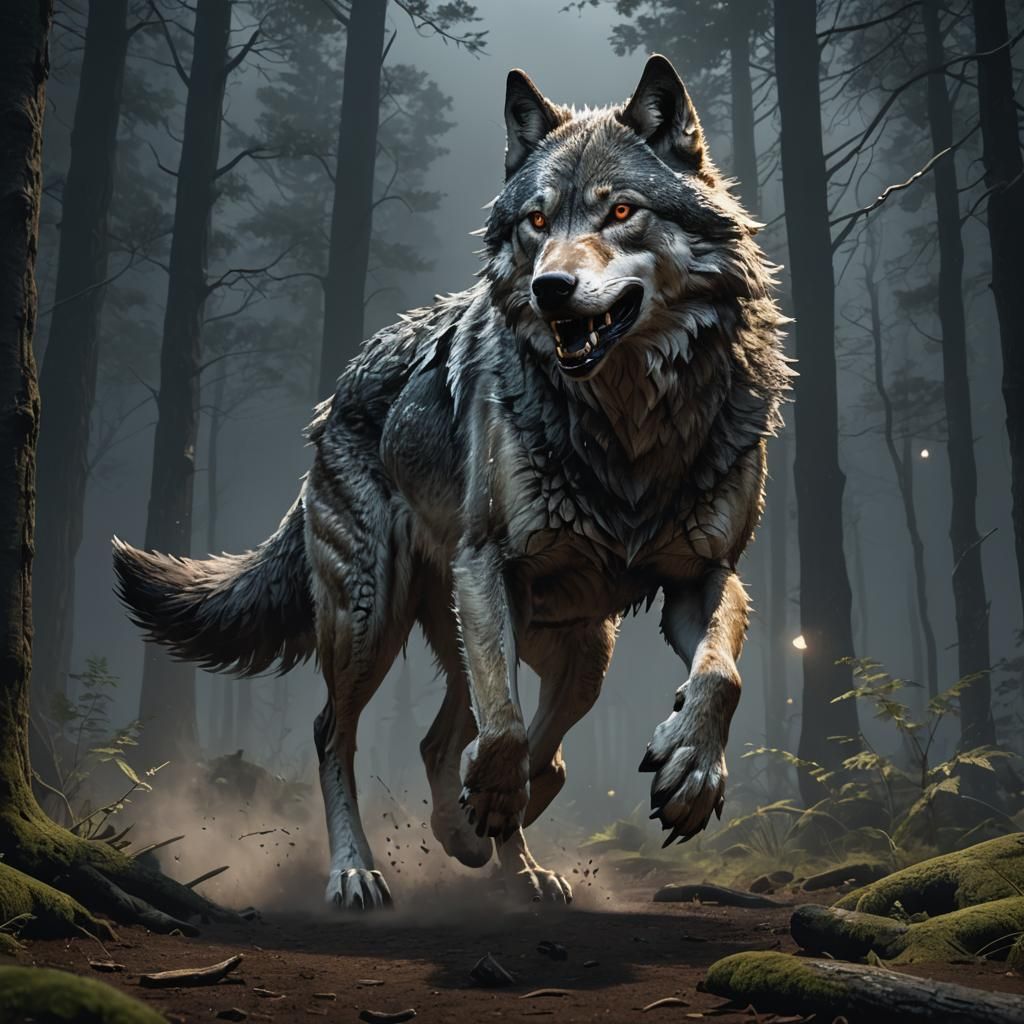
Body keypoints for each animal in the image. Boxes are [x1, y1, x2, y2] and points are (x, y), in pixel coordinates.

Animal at [113, 55, 791, 911]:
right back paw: (362, 869)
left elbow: (719, 675)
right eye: (536, 222)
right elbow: (504, 732)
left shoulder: (702, 576)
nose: (550, 289)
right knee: (341, 732)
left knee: (470, 741)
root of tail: (332, 397)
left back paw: (506, 856)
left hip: (576, 650)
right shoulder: (487, 563)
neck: (629, 428)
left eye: (621, 212)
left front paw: (691, 774)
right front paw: (490, 803)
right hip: (376, 616)